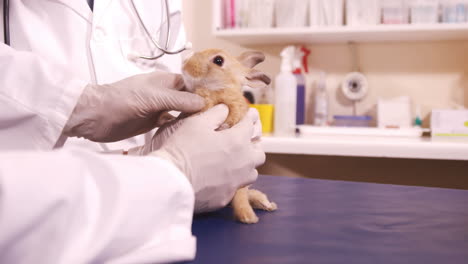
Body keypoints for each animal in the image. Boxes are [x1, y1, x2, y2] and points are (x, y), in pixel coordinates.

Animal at [182, 48, 278, 224]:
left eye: (218, 60)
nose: (185, 65)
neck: (218, 88)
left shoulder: (235, 106)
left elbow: (234, 115)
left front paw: (224, 127)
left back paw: (256, 213)